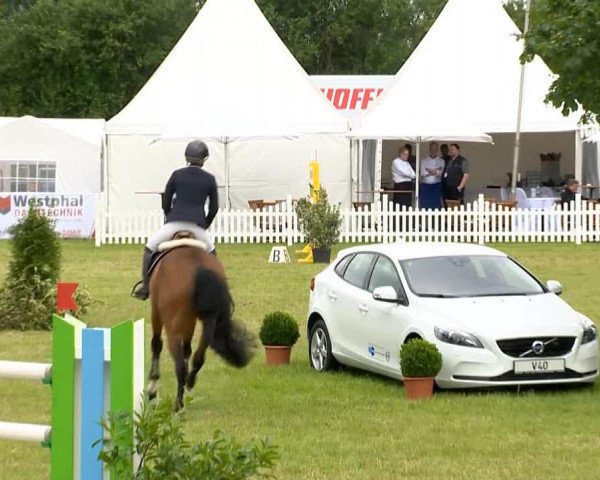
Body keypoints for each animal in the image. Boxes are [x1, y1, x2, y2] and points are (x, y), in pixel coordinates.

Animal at [148, 236, 255, 408]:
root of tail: (199, 267)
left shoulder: (156, 311)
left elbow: (156, 345)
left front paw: (152, 391)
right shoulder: (191, 320)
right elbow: (188, 350)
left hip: (173, 327)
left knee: (179, 364)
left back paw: (178, 404)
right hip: (208, 323)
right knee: (199, 356)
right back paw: (189, 384)